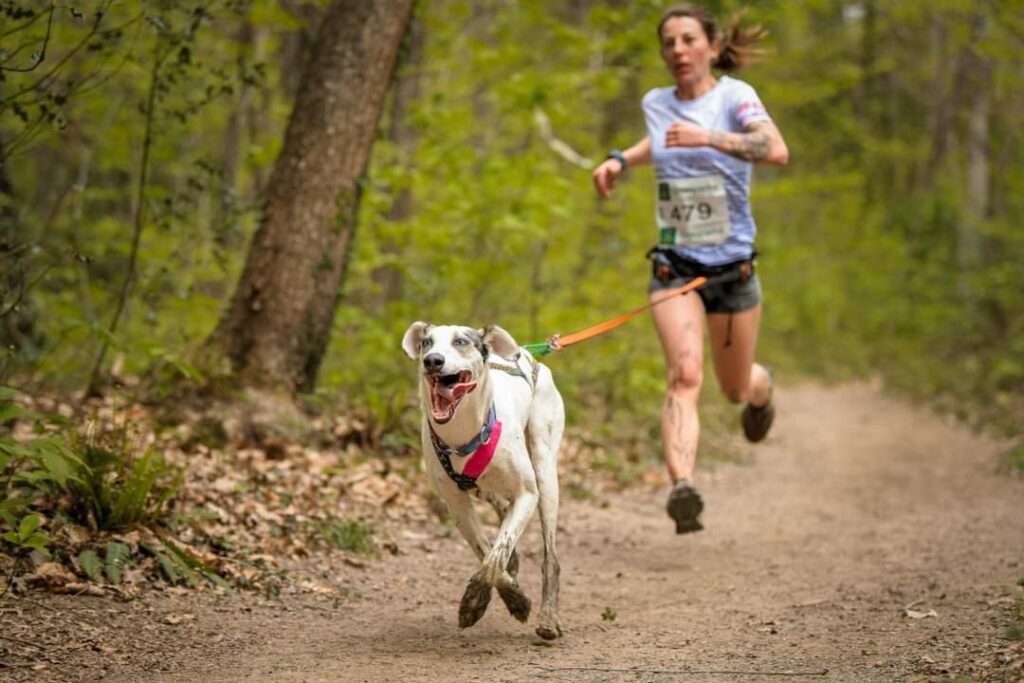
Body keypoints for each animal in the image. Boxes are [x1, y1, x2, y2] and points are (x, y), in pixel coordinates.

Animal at [401, 321, 565, 643]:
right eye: (427, 342)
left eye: (461, 342)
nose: (432, 361)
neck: (463, 434)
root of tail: (530, 355)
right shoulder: (456, 504)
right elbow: (487, 551)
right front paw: (506, 595)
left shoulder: (527, 494)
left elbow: (496, 554)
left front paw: (480, 601)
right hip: (478, 487)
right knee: (498, 504)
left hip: (545, 469)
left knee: (551, 557)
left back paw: (548, 619)